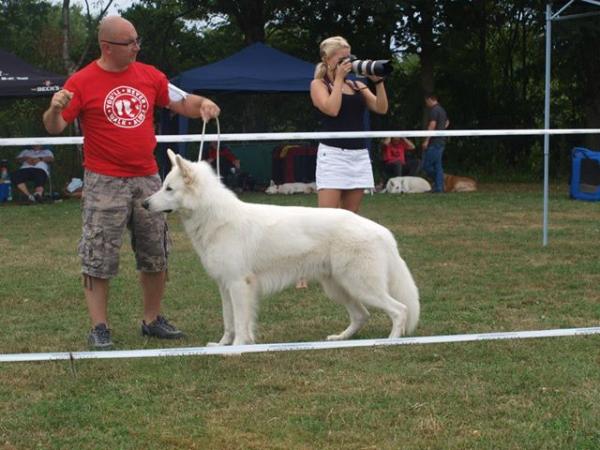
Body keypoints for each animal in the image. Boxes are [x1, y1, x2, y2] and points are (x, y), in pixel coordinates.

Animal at [143, 149, 420, 346]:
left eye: (169, 188)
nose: (144, 204)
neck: (215, 218)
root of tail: (382, 231)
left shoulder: (239, 285)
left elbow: (241, 323)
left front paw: (238, 347)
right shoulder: (225, 286)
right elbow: (228, 321)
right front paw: (222, 345)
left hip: (361, 285)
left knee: (400, 310)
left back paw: (391, 341)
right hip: (339, 287)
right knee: (362, 315)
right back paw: (340, 339)